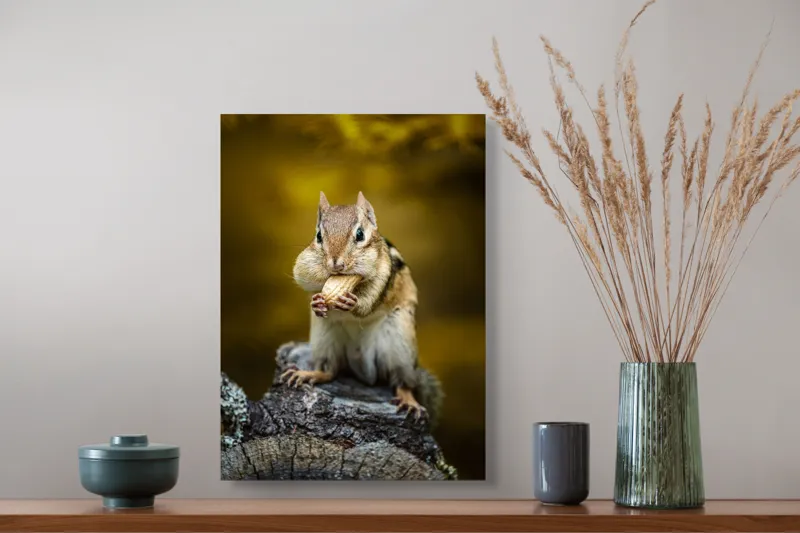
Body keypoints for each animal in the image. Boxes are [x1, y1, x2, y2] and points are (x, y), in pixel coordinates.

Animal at [283, 191, 444, 428]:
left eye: (360, 234)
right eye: (319, 236)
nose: (336, 265)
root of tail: (362, 364)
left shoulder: (384, 273)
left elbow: (369, 301)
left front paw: (354, 303)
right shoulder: (306, 264)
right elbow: (303, 277)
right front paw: (316, 302)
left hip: (400, 344)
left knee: (402, 382)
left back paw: (409, 401)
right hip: (325, 338)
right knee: (330, 371)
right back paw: (308, 374)